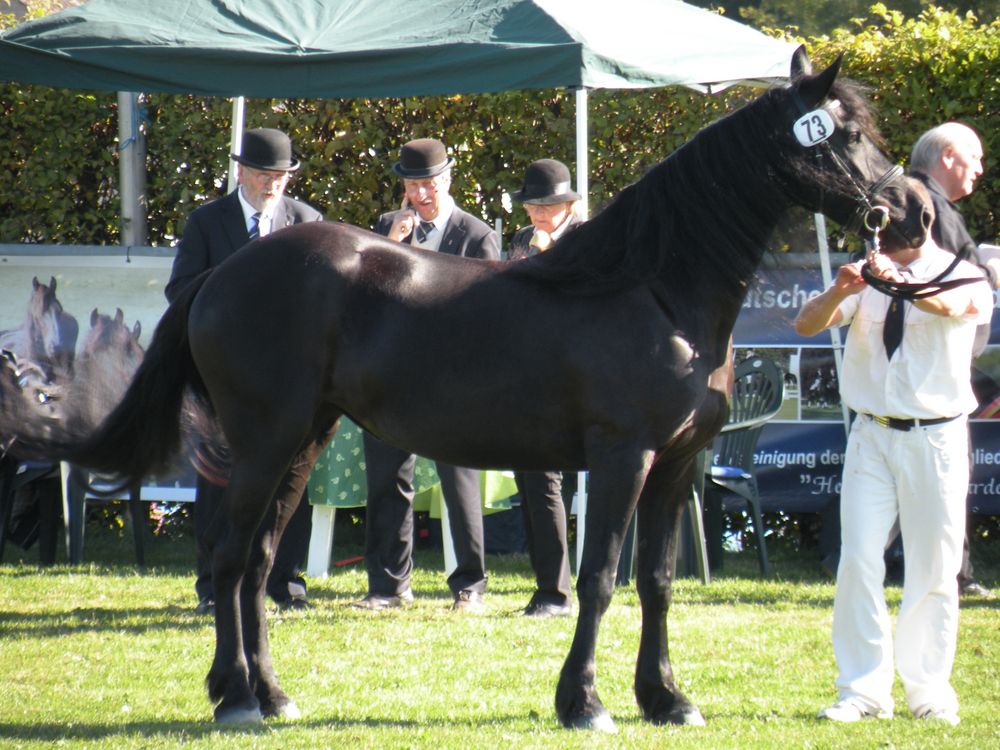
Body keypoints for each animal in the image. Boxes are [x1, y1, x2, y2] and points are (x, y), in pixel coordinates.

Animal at [0, 50, 928, 732]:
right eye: (843, 135)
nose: (914, 213)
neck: (653, 289)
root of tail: (224, 272)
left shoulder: (676, 467)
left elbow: (658, 581)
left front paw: (666, 700)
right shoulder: (621, 460)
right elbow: (598, 579)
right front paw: (585, 704)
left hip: (303, 441)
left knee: (259, 562)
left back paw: (271, 695)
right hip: (264, 441)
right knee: (229, 560)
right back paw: (233, 699)